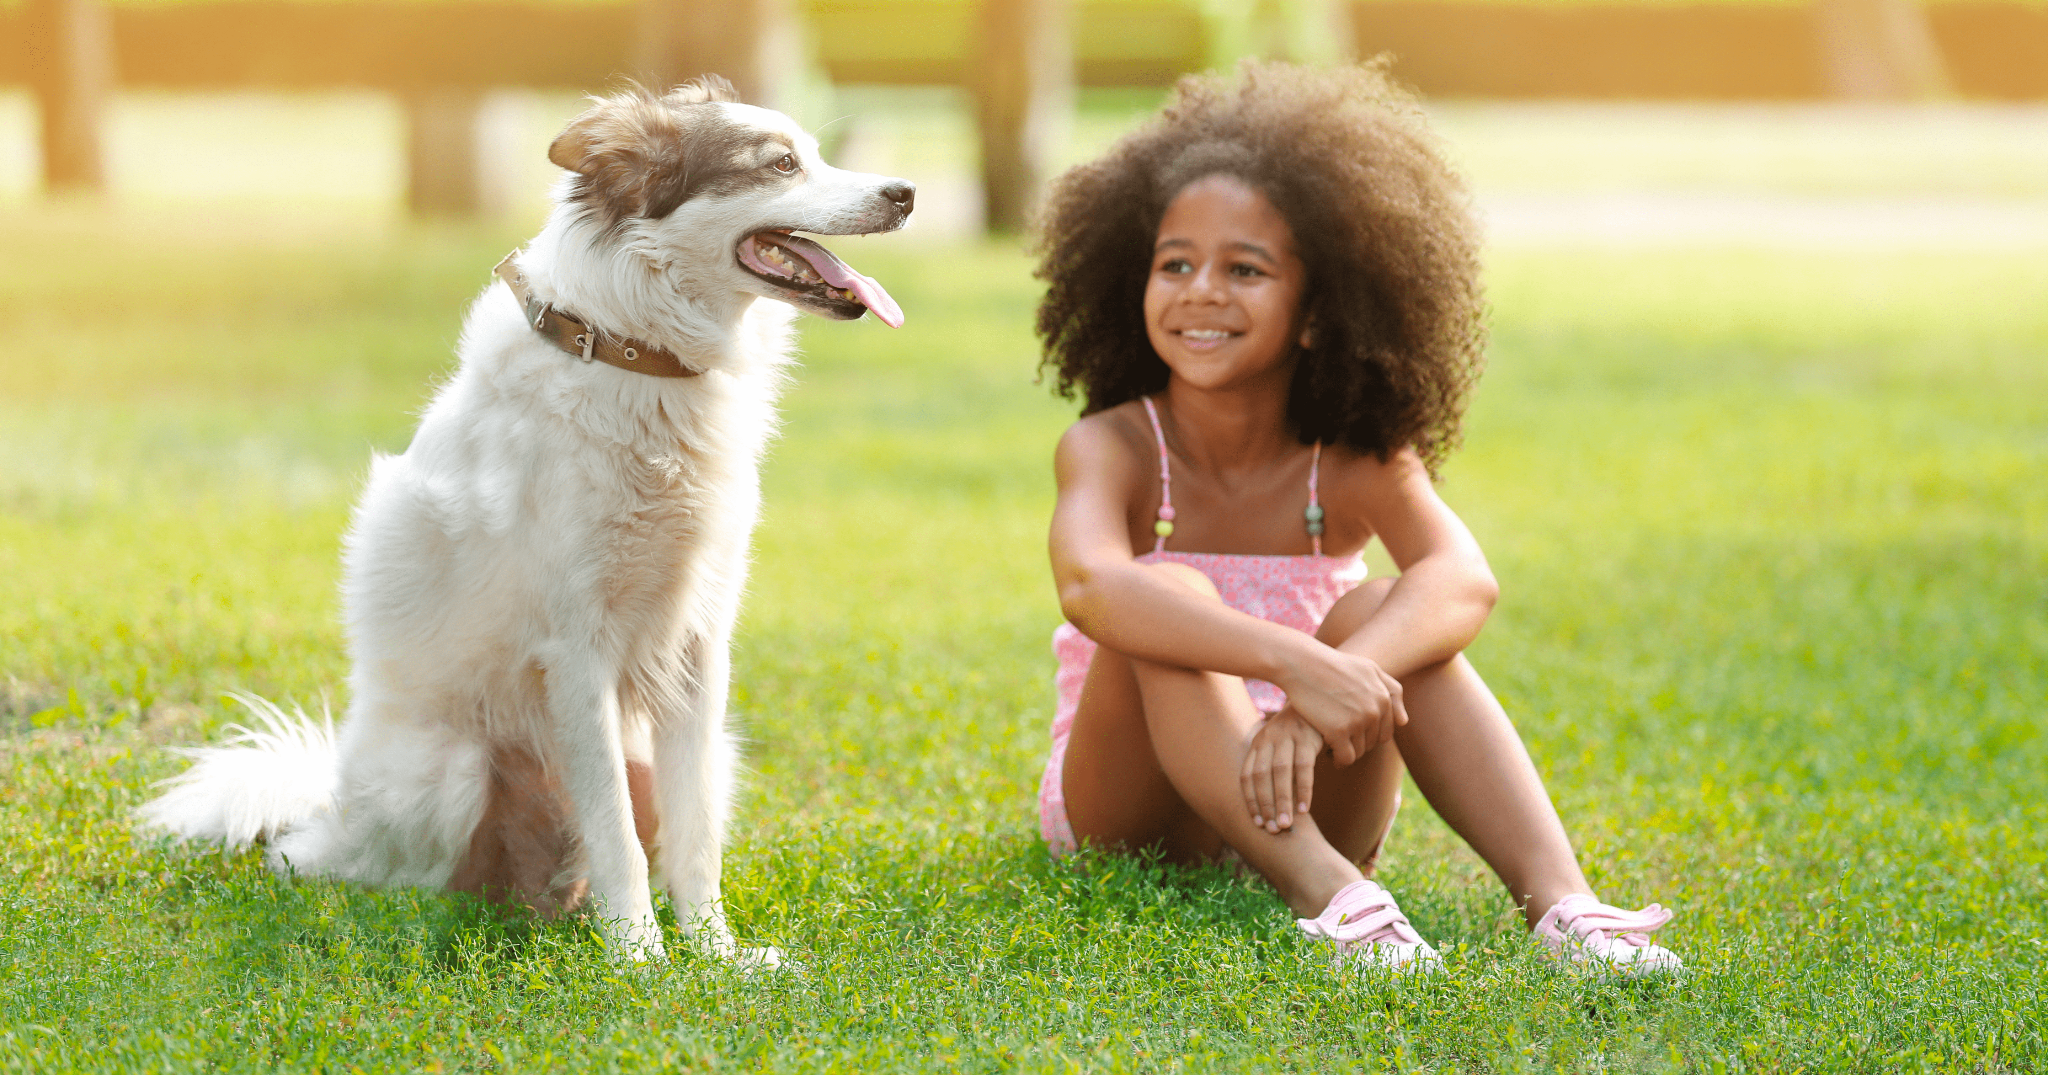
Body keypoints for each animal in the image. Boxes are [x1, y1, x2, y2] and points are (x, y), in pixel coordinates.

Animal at [134, 77, 913, 962]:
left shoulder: (697, 650)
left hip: (711, 751)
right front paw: (641, 960)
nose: (907, 193)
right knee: (365, 872)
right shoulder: (575, 652)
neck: (633, 351)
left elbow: (692, 836)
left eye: (813, 152)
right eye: (780, 164)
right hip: (449, 771)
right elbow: (617, 835)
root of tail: (328, 806)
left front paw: (713, 954)